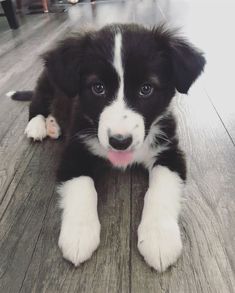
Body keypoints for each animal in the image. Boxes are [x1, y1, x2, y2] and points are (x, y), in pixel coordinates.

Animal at [12, 23, 205, 272]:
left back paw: (53, 124)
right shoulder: (74, 152)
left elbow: (161, 189)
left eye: (146, 89)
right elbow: (83, 188)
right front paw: (79, 235)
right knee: (37, 103)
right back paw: (38, 125)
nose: (119, 141)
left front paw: (159, 238)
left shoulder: (170, 152)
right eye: (98, 88)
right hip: (47, 82)